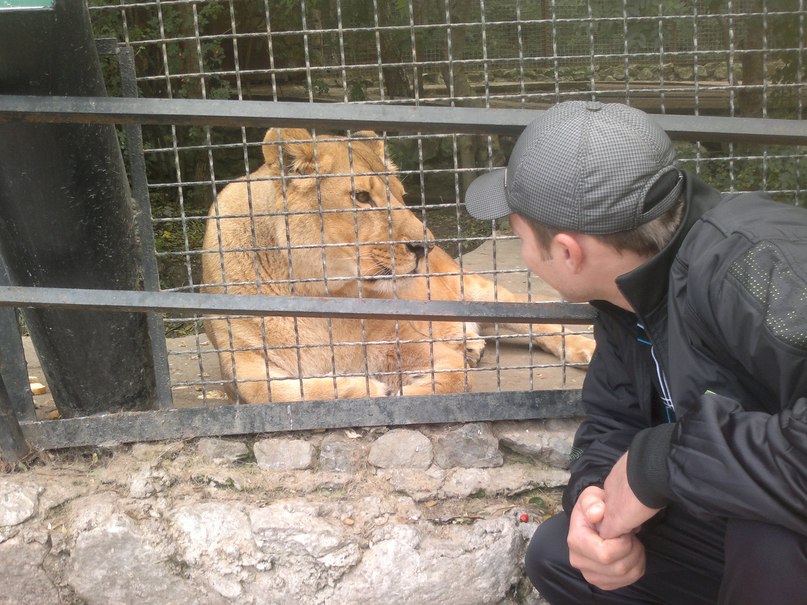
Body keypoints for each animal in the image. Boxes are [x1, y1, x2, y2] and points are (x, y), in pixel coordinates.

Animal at [201, 128, 594, 404]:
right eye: (362, 197)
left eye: (402, 197)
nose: (425, 245)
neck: (318, 294)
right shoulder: (241, 365)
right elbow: (268, 393)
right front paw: (362, 388)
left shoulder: (408, 341)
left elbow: (454, 379)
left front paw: (401, 392)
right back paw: (470, 343)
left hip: (474, 289)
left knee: (537, 318)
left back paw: (586, 349)